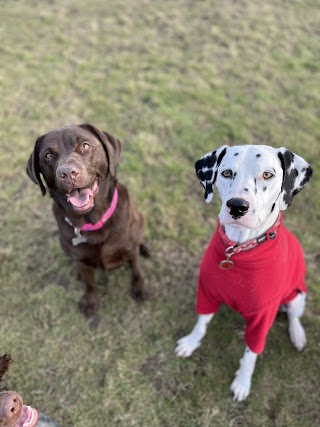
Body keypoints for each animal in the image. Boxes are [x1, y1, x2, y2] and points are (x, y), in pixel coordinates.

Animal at [26, 123, 150, 318]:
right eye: (48, 155)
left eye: (85, 145)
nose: (68, 173)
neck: (94, 221)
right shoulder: (83, 261)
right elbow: (89, 283)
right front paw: (90, 301)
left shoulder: (130, 249)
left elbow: (136, 269)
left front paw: (139, 289)